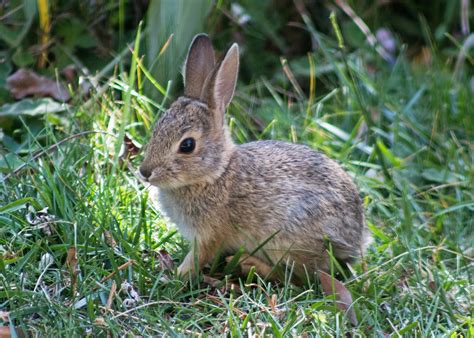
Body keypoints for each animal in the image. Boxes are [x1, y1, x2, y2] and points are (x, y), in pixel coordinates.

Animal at [137, 33, 370, 280]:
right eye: (156, 130)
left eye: (187, 145)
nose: (145, 172)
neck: (216, 174)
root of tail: (357, 239)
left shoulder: (210, 234)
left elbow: (199, 257)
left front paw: (176, 274)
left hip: (289, 238)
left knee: (297, 276)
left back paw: (249, 264)